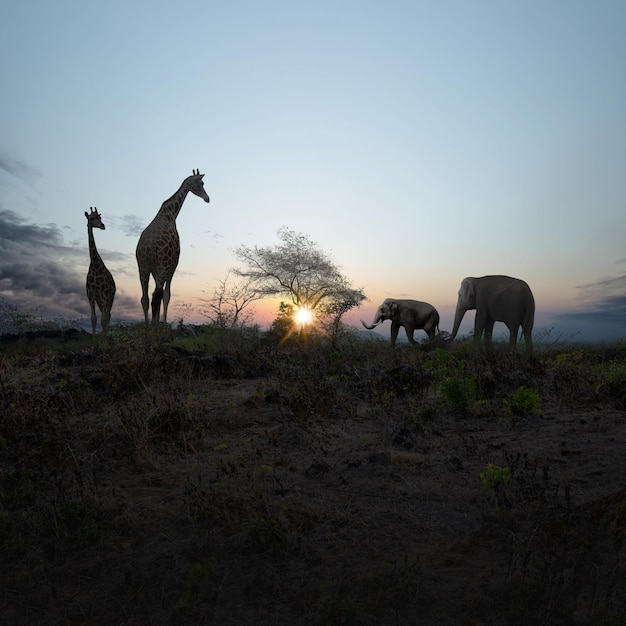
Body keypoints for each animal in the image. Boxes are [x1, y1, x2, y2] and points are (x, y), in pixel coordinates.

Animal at [84, 206, 116, 334]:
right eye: (91, 218)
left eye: (100, 217)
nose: (103, 225)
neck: (94, 265)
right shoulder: (91, 293)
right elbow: (93, 318)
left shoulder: (104, 293)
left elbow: (103, 319)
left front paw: (104, 337)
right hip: (100, 299)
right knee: (105, 314)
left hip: (110, 296)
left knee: (108, 315)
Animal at [135, 169, 210, 322]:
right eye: (201, 183)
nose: (207, 198)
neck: (170, 213)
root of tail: (151, 246)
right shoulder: (173, 264)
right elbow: (167, 296)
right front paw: (162, 322)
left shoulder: (155, 270)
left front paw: (158, 321)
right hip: (163, 265)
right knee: (157, 296)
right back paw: (154, 326)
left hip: (143, 267)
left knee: (145, 298)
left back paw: (147, 325)